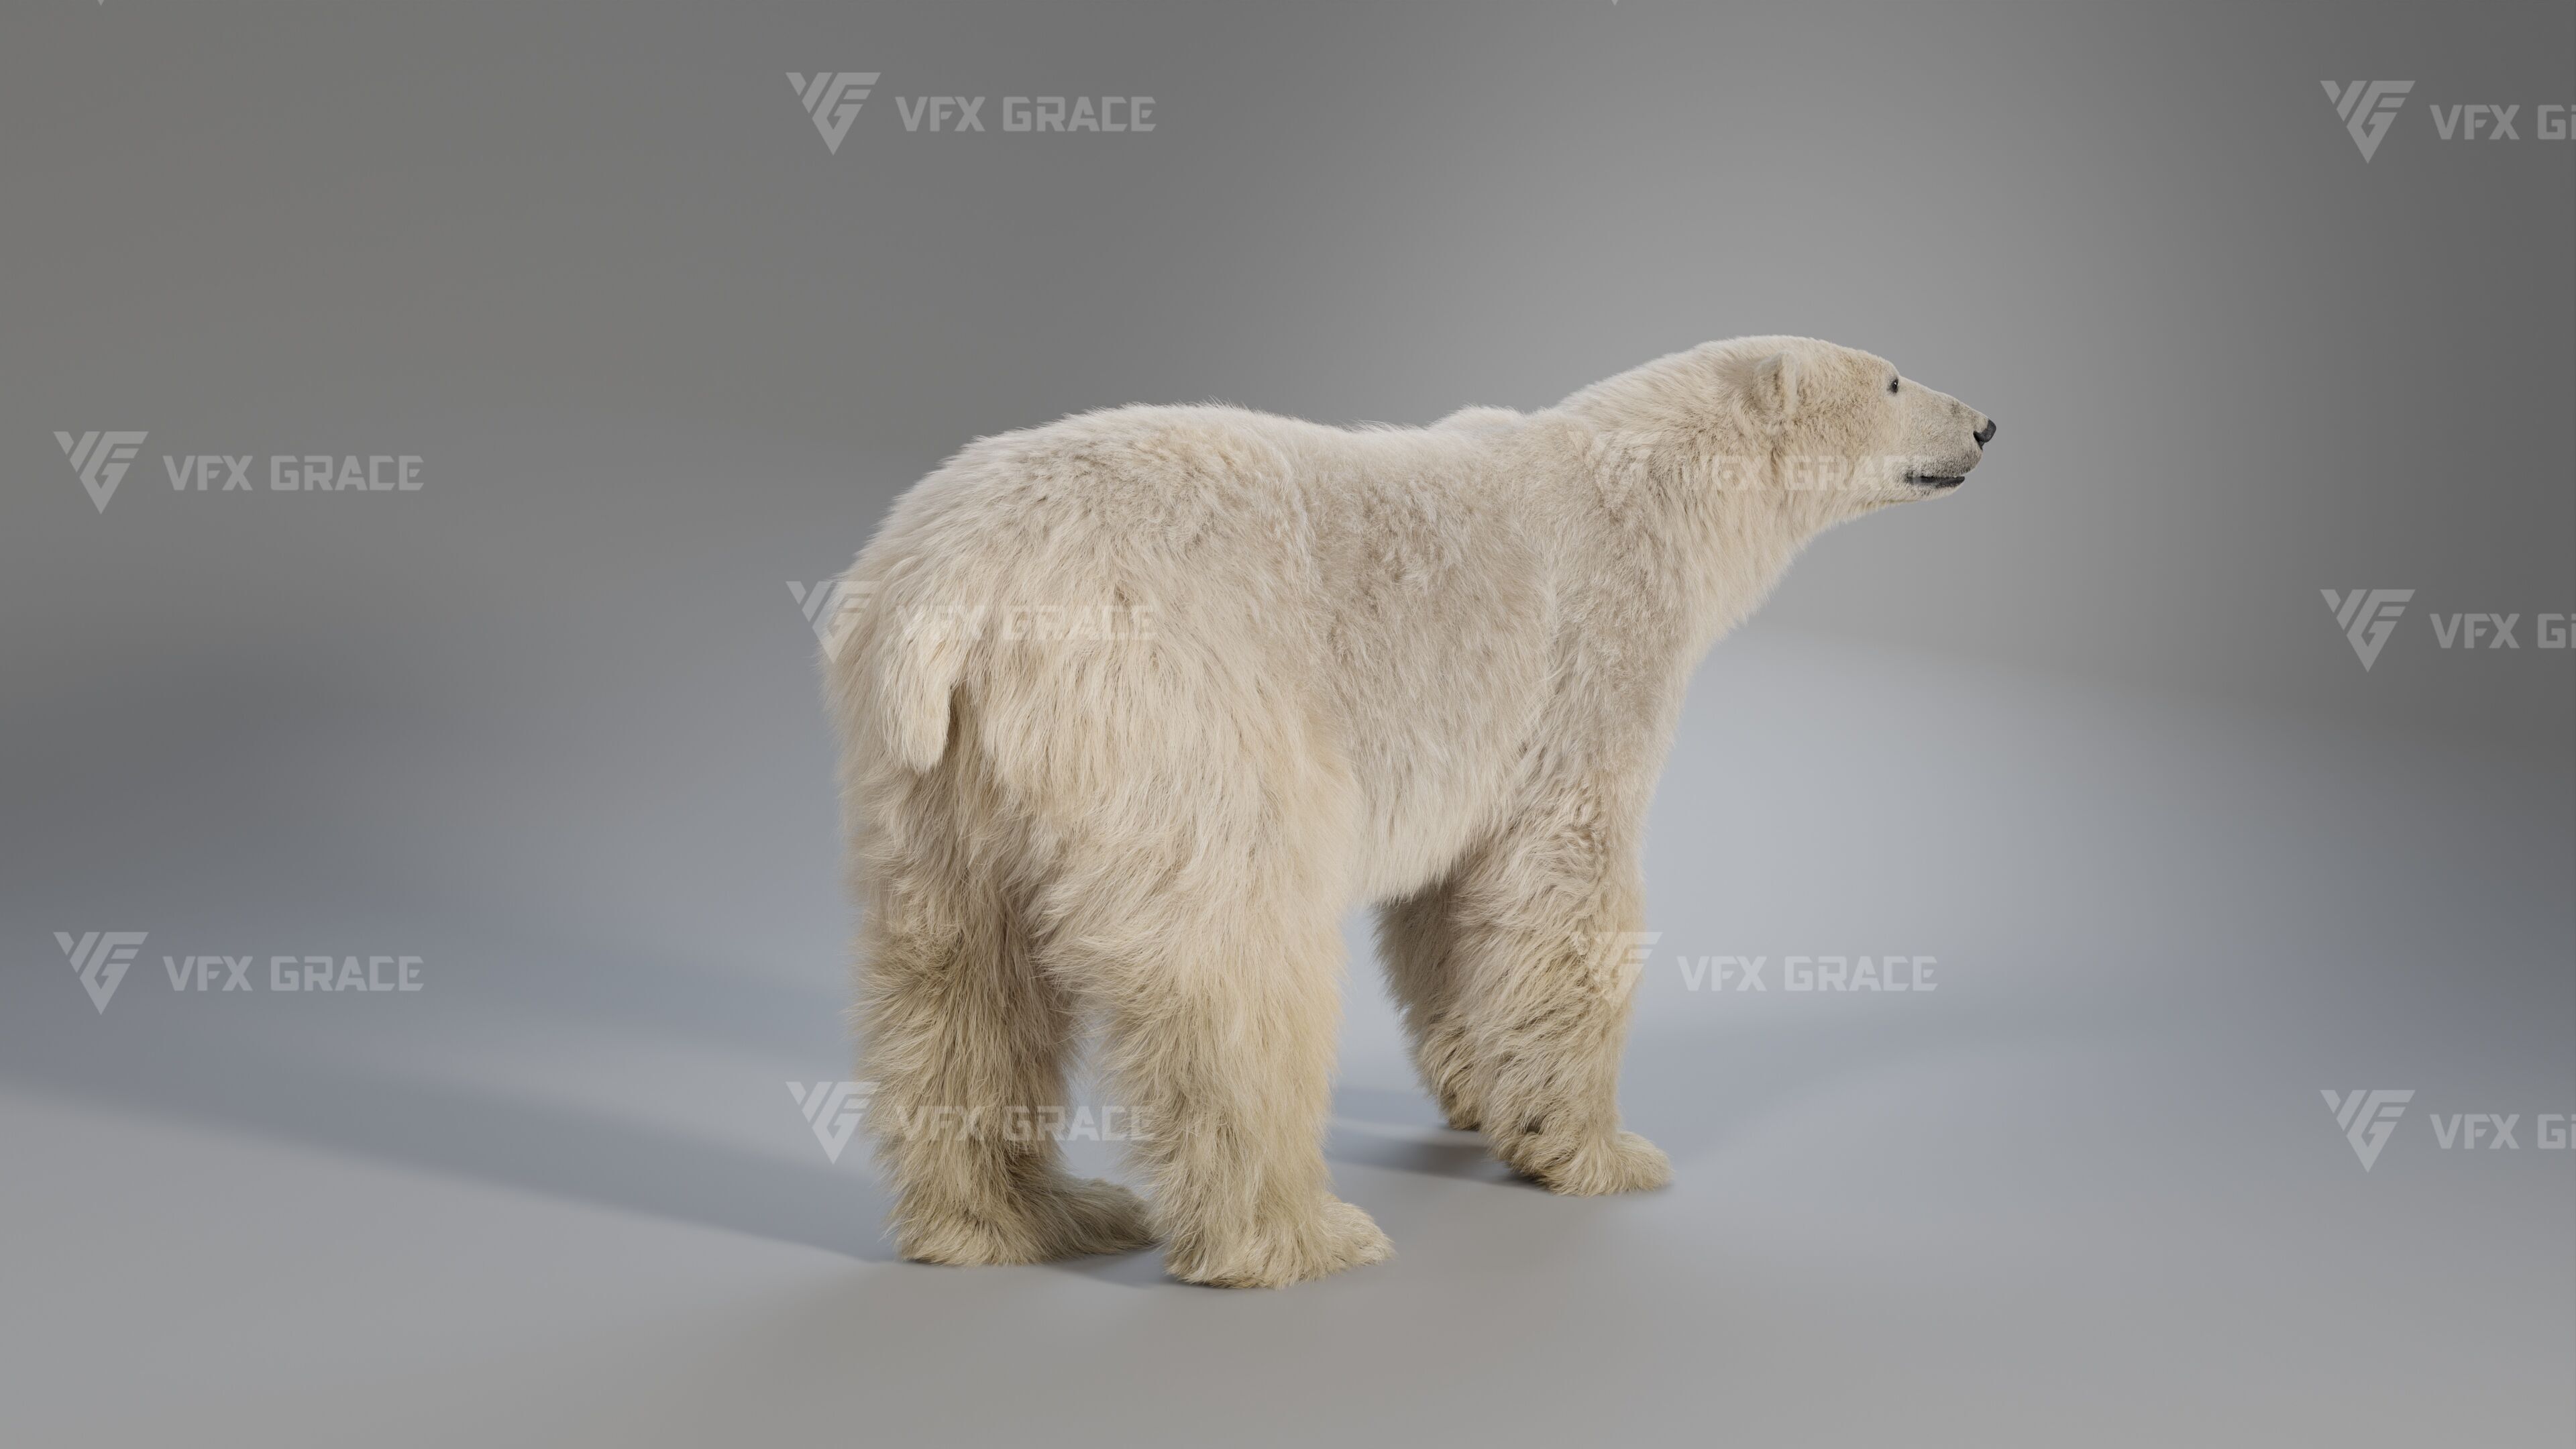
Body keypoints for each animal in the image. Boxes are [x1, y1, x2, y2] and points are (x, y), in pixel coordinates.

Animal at [823, 335, 1995, 1286]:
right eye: (1894, 378)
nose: (1986, 423)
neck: (1653, 481)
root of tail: (954, 589)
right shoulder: (1594, 655)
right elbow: (1566, 880)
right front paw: (1600, 1149)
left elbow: (1452, 905)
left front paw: (1483, 1096)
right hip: (1174, 704)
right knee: (1232, 962)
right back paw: (1295, 1234)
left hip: (933, 780)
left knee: (958, 972)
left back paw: (1018, 1219)